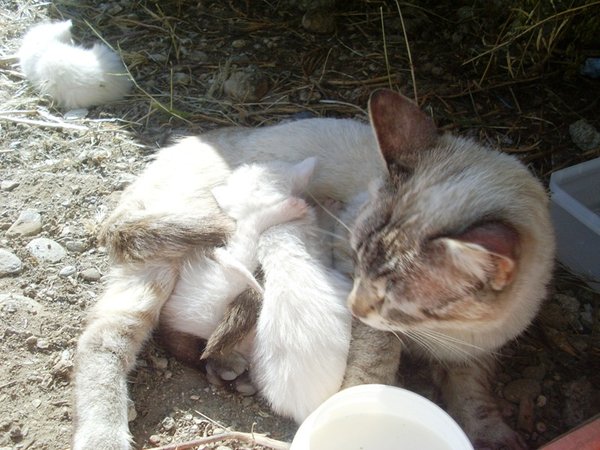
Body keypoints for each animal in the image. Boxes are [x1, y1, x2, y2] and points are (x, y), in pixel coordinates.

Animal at [72, 89, 556, 448]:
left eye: (393, 294)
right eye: (356, 261)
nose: (353, 304)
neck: (450, 333)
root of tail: (171, 149)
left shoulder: (477, 354)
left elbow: (475, 398)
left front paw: (493, 437)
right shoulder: (372, 322)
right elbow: (372, 371)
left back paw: (227, 370)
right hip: (170, 260)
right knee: (103, 342)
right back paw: (106, 438)